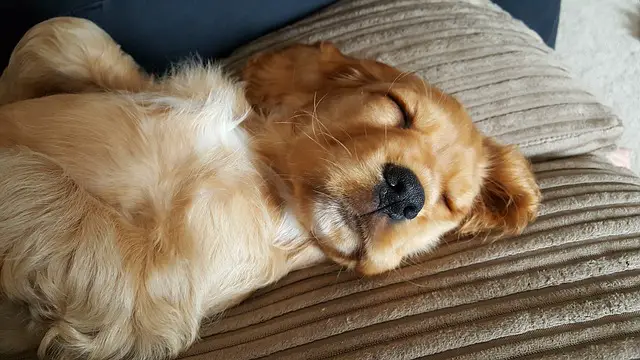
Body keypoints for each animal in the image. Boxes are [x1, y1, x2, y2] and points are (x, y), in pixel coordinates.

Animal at [0, 18, 540, 360]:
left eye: (448, 202)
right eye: (398, 108)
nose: (407, 194)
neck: (266, 167)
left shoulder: (149, 290)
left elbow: (40, 183)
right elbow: (66, 31)